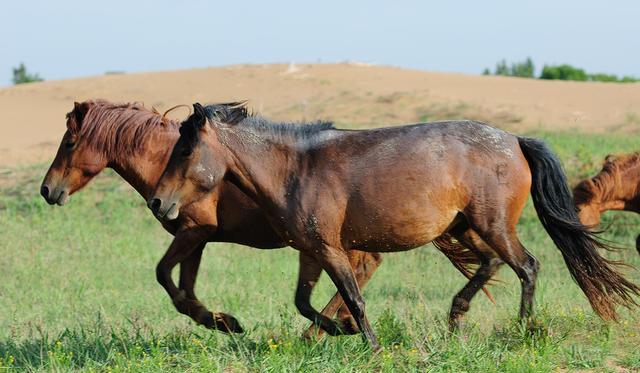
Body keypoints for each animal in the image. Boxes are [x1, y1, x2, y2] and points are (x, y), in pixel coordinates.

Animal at [38, 99, 480, 338]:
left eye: (70, 142)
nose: (47, 190)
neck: (167, 161)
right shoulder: (197, 238)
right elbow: (183, 287)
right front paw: (219, 321)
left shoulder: (195, 232)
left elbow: (165, 276)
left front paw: (222, 322)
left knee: (359, 272)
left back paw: (328, 330)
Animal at [151, 101, 640, 348]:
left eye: (185, 150)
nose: (158, 202)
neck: (295, 169)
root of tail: (515, 141)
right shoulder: (311, 249)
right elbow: (304, 302)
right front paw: (341, 331)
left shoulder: (330, 249)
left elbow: (352, 297)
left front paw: (370, 344)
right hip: (465, 227)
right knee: (492, 265)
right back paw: (456, 319)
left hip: (493, 224)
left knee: (527, 266)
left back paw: (523, 331)